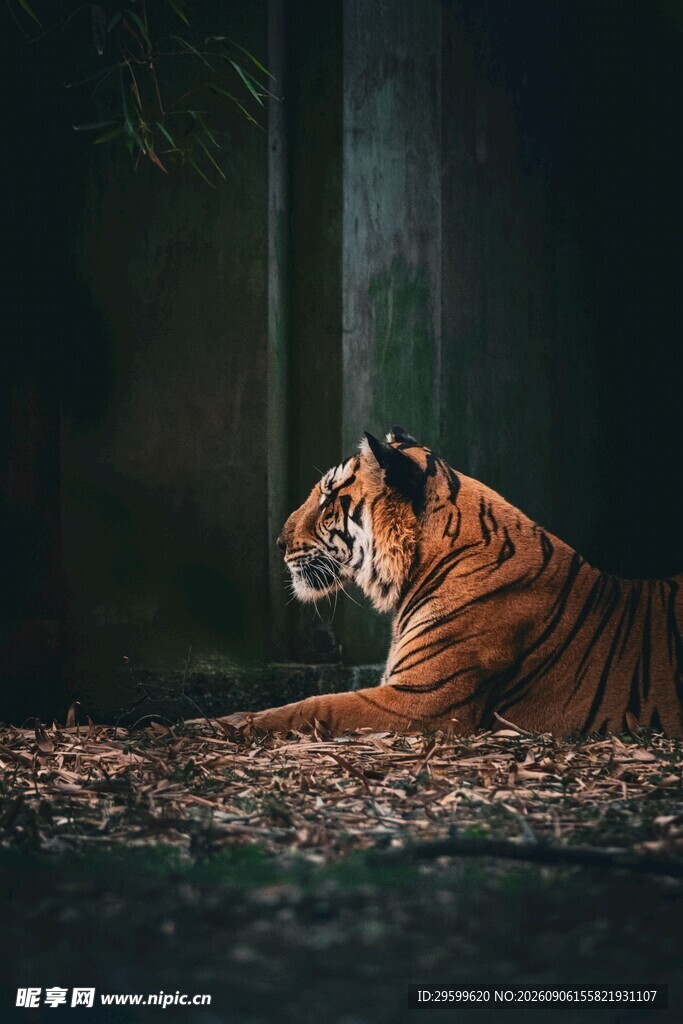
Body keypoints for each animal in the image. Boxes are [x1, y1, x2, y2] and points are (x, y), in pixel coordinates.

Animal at [217, 426, 683, 738]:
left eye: (329, 498)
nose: (279, 542)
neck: (418, 566)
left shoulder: (420, 700)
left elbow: (312, 707)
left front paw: (217, 724)